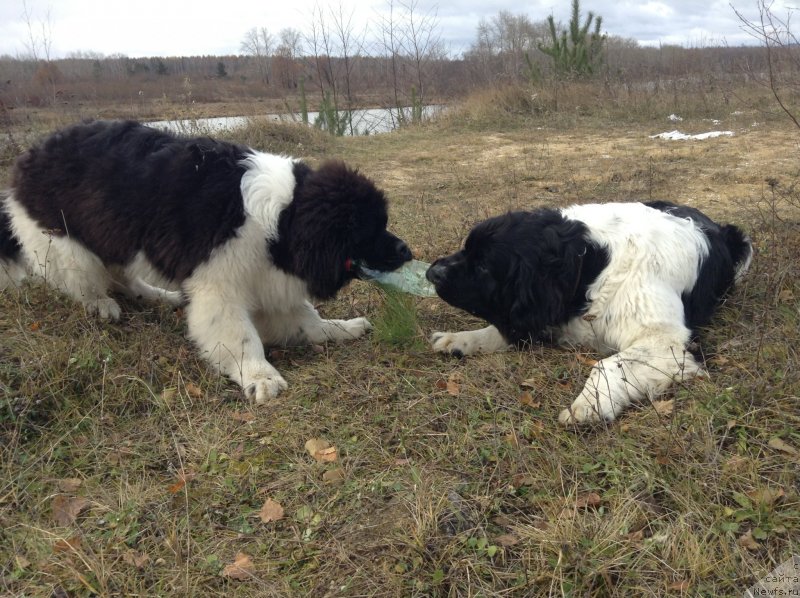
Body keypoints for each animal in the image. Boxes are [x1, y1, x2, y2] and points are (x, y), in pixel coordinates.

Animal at [0, 119, 412, 404]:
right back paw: (101, 304)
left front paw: (340, 328)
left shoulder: (263, 275)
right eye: (371, 230)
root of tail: (27, 156)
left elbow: (306, 320)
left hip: (114, 233)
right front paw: (259, 376)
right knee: (83, 280)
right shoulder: (221, 284)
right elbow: (240, 335)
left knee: (122, 275)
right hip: (65, 241)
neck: (283, 218)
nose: (407, 250)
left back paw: (157, 296)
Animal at [424, 203, 752, 426]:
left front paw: (589, 403)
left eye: (482, 266)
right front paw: (460, 339)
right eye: (466, 250)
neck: (590, 263)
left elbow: (607, 364)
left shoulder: (666, 341)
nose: (431, 272)